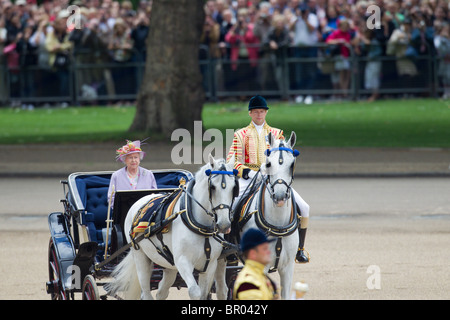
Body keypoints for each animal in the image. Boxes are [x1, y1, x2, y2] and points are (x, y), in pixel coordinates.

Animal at [107, 155, 237, 300]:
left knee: (161, 292)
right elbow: (195, 291)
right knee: (146, 292)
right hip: (140, 257)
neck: (201, 227)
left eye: (234, 188)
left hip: (169, 264)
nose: (224, 224)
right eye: (212, 187)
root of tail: (140, 201)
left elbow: (203, 294)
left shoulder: (210, 264)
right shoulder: (183, 261)